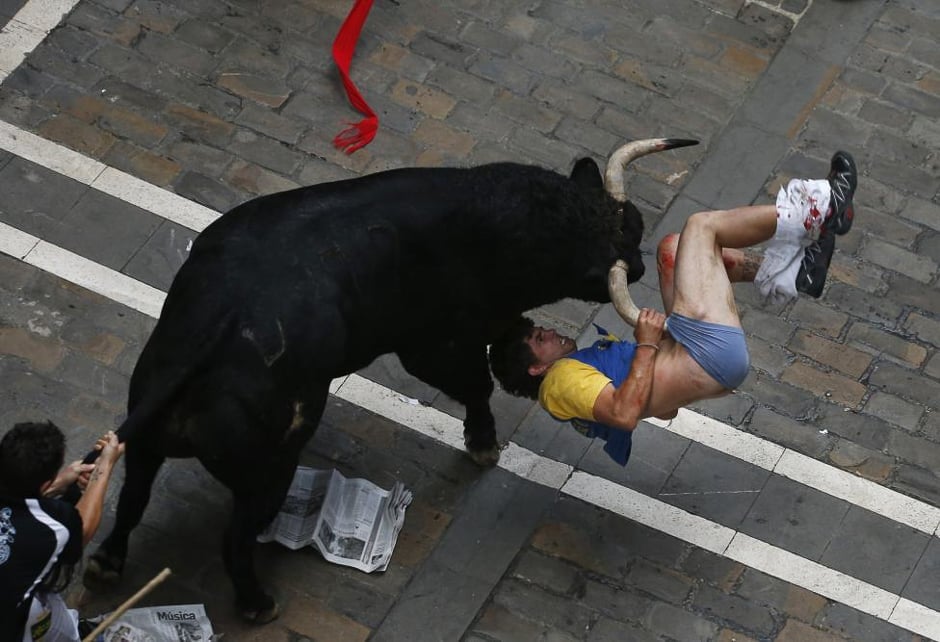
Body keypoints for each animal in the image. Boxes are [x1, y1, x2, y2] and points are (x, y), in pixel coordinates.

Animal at [81, 136, 692, 620]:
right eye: (615, 249)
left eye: (634, 223)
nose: (640, 266)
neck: (492, 221)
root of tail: (215, 329)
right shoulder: (433, 343)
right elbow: (475, 385)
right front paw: (483, 444)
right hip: (270, 469)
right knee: (232, 539)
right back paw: (258, 603)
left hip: (148, 434)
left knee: (132, 494)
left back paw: (106, 565)